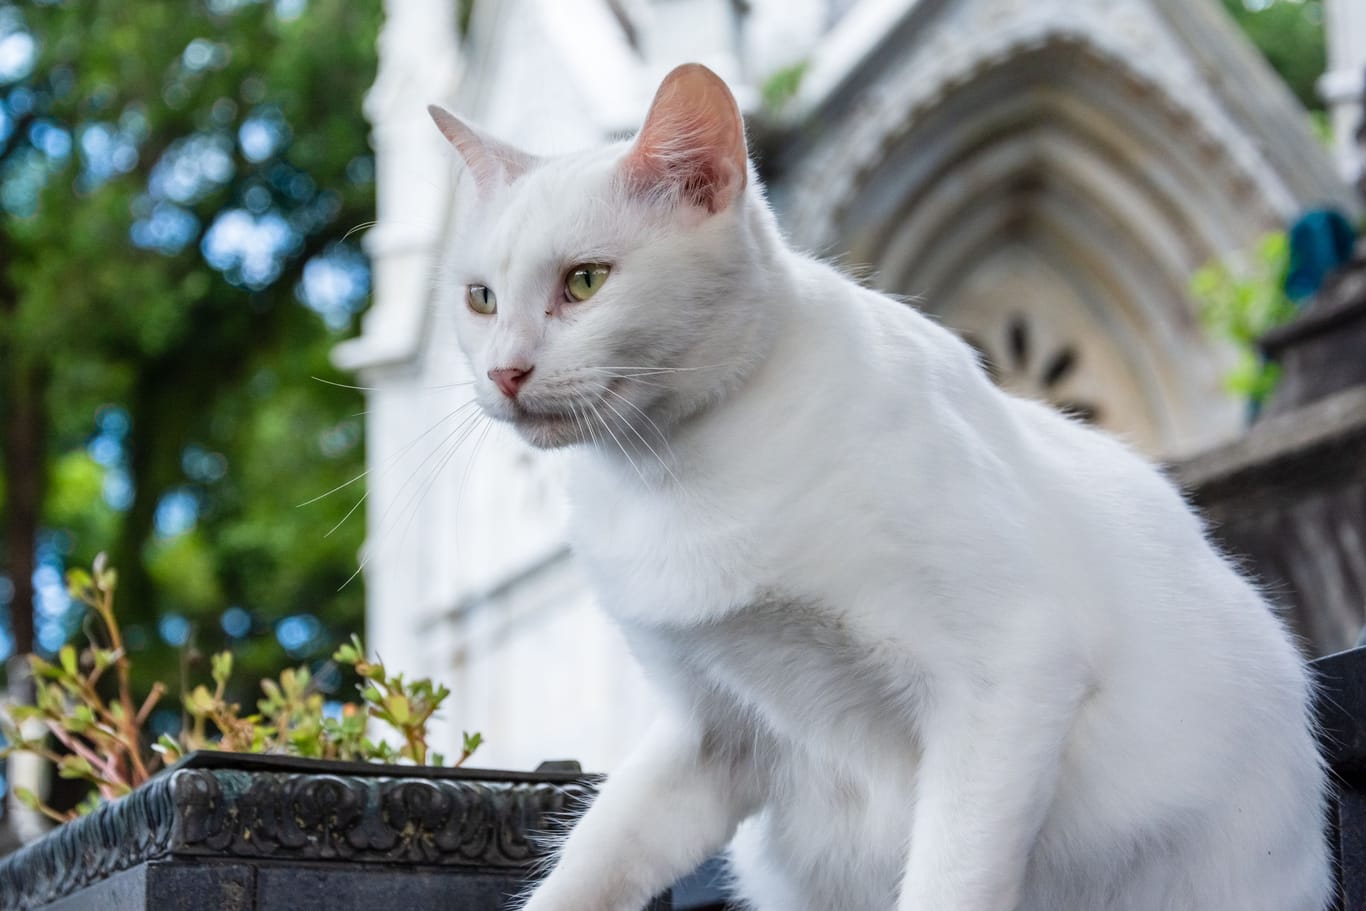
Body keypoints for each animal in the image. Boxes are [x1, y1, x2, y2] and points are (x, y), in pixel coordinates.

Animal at [428, 65, 1333, 911]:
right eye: (481, 299)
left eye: (585, 281)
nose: (505, 372)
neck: (670, 474)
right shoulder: (707, 733)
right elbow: (592, 861)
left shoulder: (1008, 675)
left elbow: (949, 880)